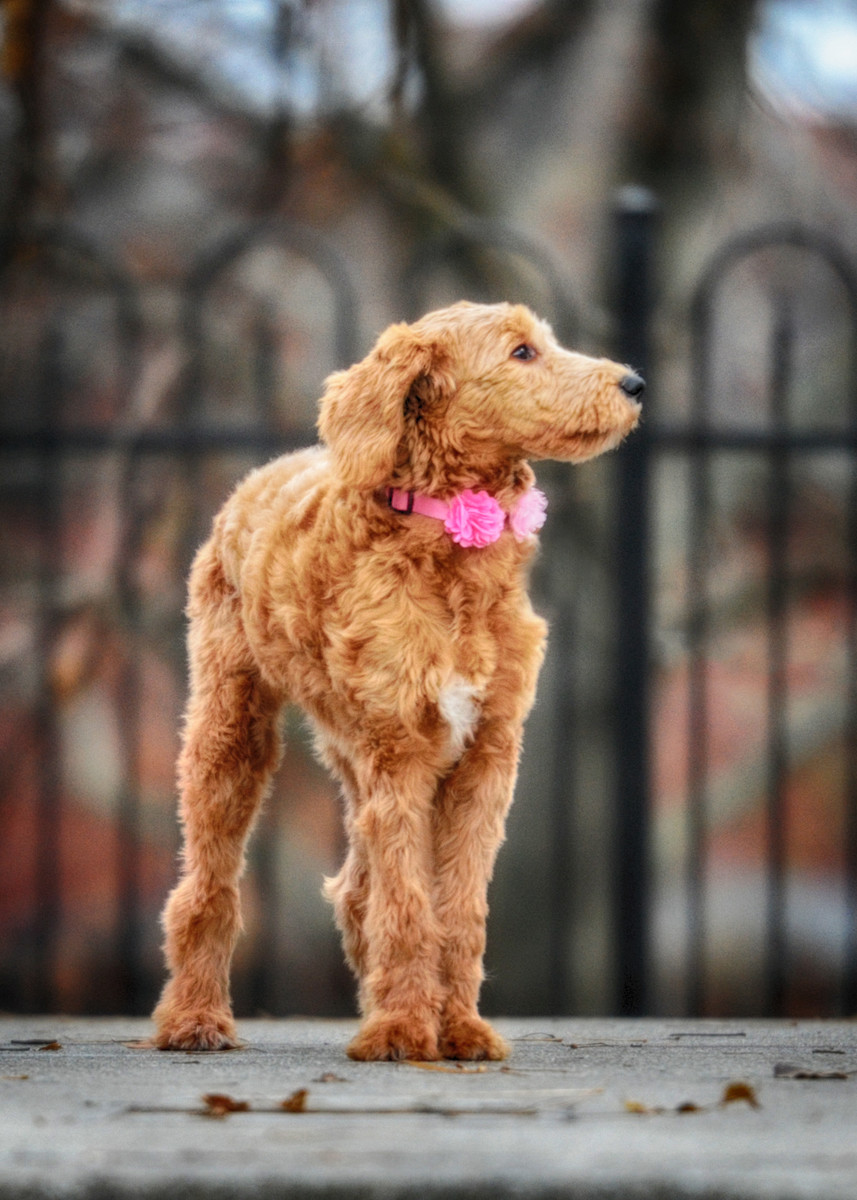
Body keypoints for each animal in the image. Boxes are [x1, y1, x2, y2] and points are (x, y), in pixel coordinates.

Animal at [151, 300, 643, 1060]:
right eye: (522, 352)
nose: (634, 384)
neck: (451, 545)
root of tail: (264, 471)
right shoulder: (401, 751)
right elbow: (410, 906)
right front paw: (404, 1030)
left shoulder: (485, 759)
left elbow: (459, 910)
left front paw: (460, 1029)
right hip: (232, 724)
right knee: (210, 880)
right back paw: (193, 1018)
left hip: (348, 745)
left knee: (358, 888)